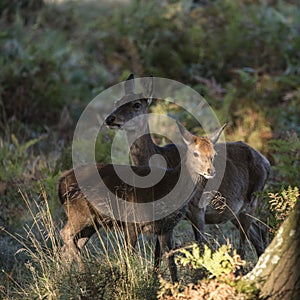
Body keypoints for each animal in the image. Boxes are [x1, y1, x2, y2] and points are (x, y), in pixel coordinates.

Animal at [58, 120, 225, 282]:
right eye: (195, 153)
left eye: (214, 154)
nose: (211, 171)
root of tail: (61, 181)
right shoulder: (131, 221)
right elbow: (128, 257)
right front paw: (127, 282)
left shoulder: (166, 228)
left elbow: (170, 261)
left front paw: (174, 286)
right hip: (79, 213)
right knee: (65, 234)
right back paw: (85, 273)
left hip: (92, 222)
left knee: (69, 247)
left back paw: (66, 280)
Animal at [104, 73, 270, 258]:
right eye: (117, 102)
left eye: (137, 105)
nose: (110, 119)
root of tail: (266, 162)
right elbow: (158, 254)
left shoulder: (197, 207)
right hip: (236, 212)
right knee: (259, 234)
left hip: (251, 202)